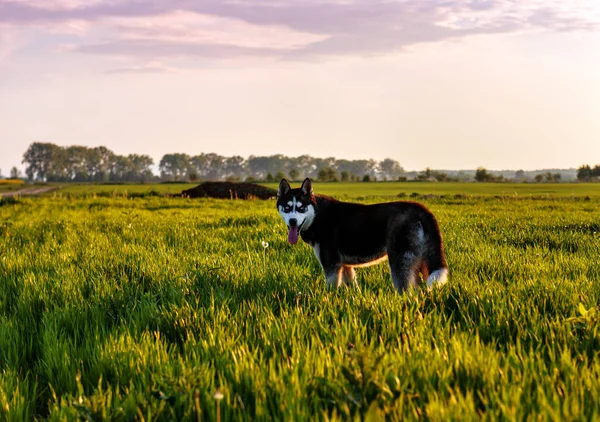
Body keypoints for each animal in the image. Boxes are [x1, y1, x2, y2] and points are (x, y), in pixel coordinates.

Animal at [276, 178, 446, 294]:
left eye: (301, 208)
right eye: (287, 208)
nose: (292, 221)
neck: (318, 215)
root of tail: (421, 209)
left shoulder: (331, 265)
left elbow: (331, 288)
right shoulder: (344, 265)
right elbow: (353, 286)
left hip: (400, 261)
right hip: (419, 262)